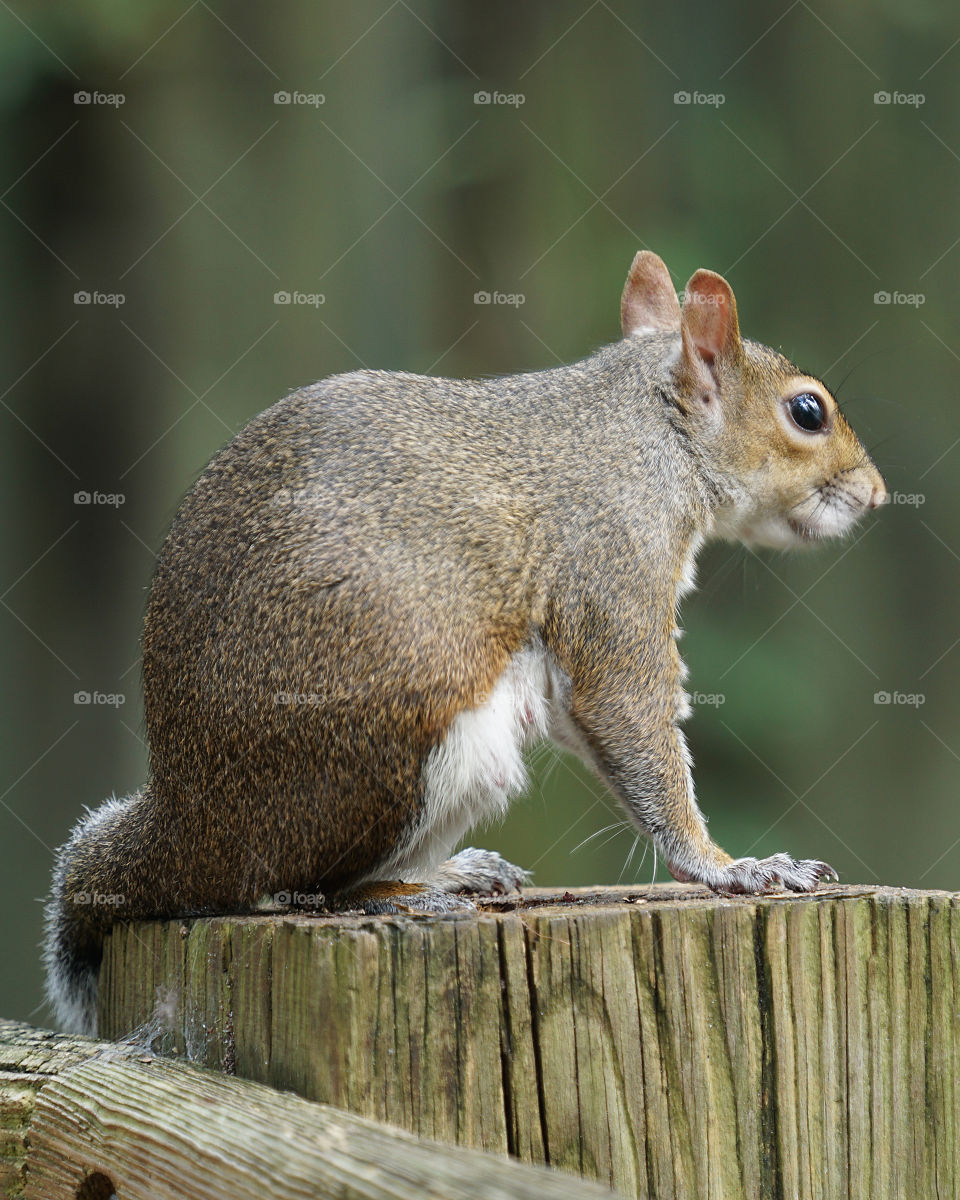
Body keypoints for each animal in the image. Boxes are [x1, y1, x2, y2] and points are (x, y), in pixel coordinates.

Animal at [44, 251, 886, 1035]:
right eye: (807, 411)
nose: (876, 494)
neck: (649, 430)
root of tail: (191, 820)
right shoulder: (612, 557)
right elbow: (628, 714)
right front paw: (731, 867)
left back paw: (450, 871)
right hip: (413, 745)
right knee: (305, 888)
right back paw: (413, 893)